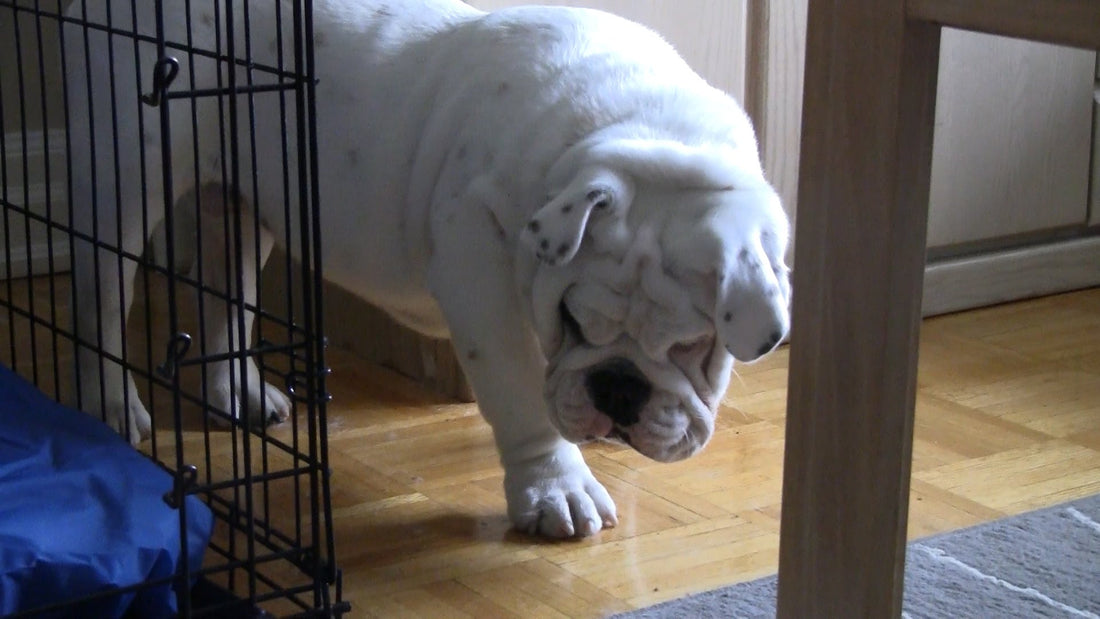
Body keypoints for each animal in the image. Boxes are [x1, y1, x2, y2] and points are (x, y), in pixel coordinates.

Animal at [66, 0, 792, 538]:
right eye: (572, 320)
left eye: (694, 344)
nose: (618, 388)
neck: (649, 132)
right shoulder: (476, 263)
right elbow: (518, 387)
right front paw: (555, 490)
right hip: (127, 171)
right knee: (102, 291)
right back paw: (111, 407)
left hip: (241, 209)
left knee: (226, 285)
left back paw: (237, 393)